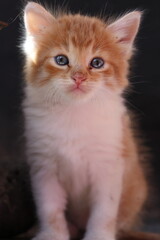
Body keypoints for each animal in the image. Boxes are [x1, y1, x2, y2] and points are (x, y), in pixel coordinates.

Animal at [21, 1, 158, 240]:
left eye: (97, 62)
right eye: (61, 60)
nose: (79, 77)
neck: (74, 112)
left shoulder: (109, 163)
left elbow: (104, 211)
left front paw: (99, 235)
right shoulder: (43, 165)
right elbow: (50, 208)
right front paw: (52, 234)